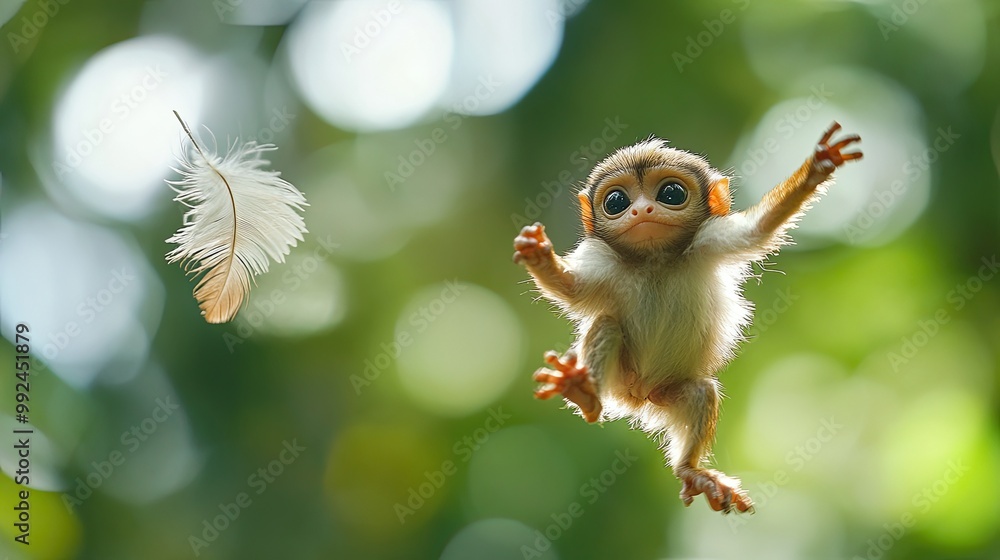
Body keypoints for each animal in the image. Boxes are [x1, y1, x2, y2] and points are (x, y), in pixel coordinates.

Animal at [513, 122, 861, 514]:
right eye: (616, 202)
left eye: (671, 193)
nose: (642, 210)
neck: (655, 260)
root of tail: (636, 398)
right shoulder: (602, 260)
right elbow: (571, 289)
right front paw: (539, 257)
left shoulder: (710, 239)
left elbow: (760, 229)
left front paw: (818, 166)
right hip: (617, 381)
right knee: (606, 325)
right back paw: (583, 393)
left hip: (668, 393)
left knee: (700, 393)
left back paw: (689, 469)